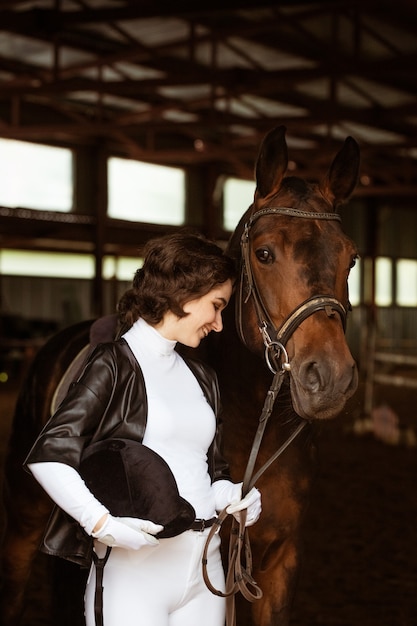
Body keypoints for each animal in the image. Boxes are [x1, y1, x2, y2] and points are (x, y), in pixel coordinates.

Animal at [0, 124, 358, 620]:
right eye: (265, 253)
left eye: (352, 258)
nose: (330, 379)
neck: (256, 432)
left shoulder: (281, 561)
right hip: (22, 522)